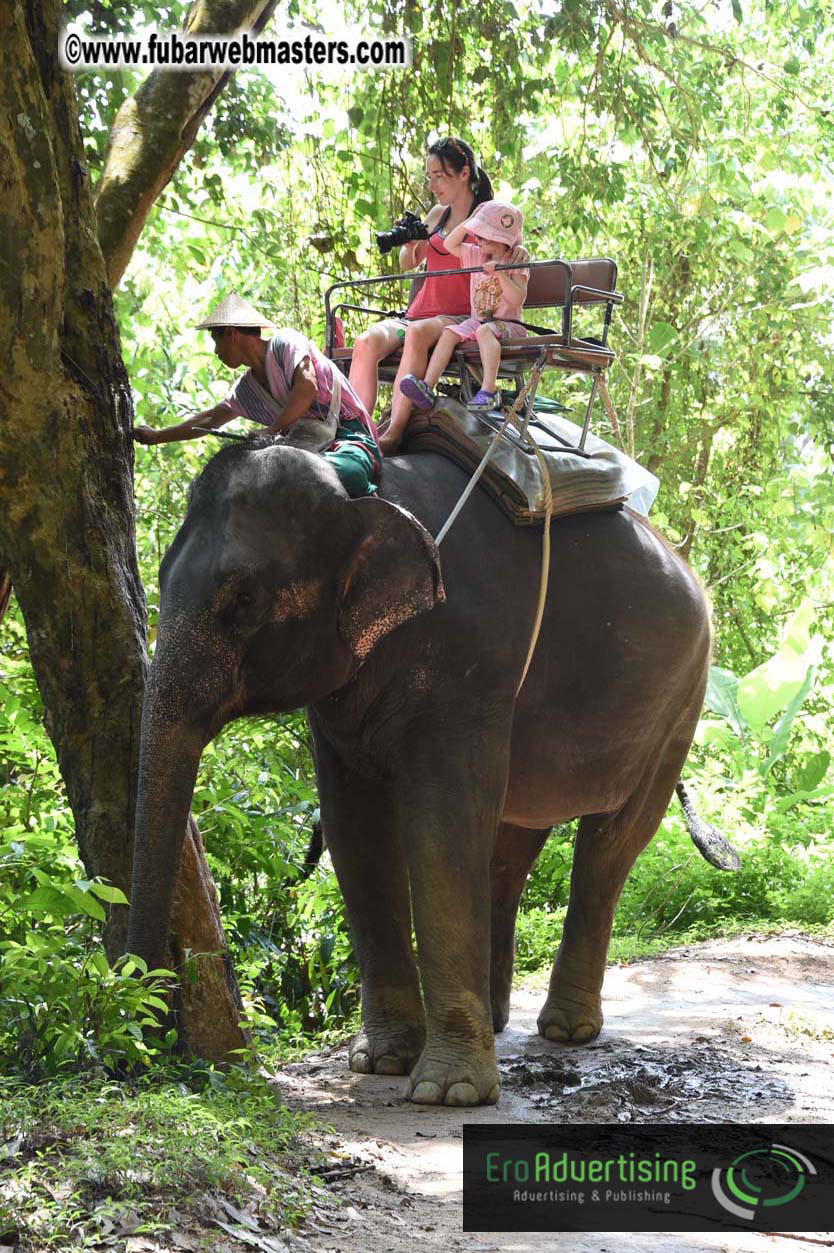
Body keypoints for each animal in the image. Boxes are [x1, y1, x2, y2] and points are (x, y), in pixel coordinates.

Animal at [127, 432, 711, 1107]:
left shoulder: (468, 659)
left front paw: (446, 1091)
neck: (364, 493)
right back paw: (497, 1021)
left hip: (682, 701)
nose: (144, 1057)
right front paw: (379, 1061)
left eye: (243, 599)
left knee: (611, 844)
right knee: (513, 844)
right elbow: (355, 826)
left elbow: (440, 824)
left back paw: (566, 1031)